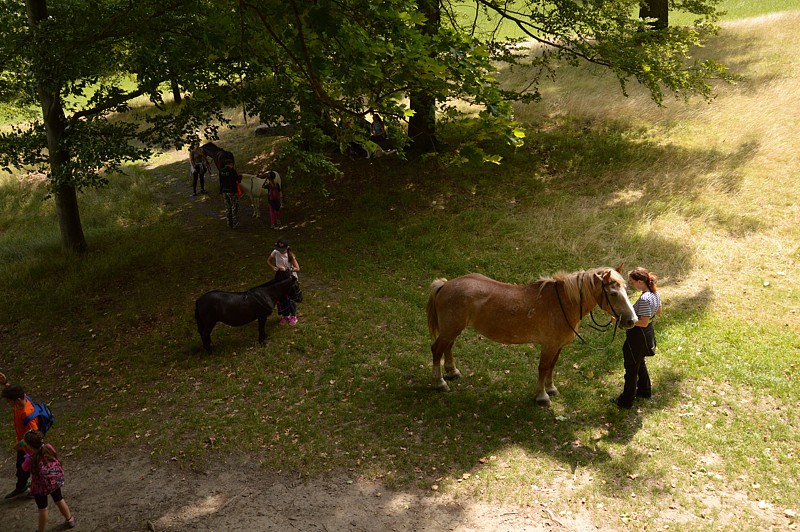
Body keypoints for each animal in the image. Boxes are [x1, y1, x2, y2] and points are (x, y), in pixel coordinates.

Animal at [424, 266, 636, 408]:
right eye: (613, 293)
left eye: (626, 289)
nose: (631, 320)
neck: (562, 303)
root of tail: (445, 285)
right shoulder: (549, 345)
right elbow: (543, 368)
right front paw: (542, 396)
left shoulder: (557, 346)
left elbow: (551, 366)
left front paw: (551, 388)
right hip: (451, 328)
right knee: (437, 349)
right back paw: (439, 382)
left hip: (453, 329)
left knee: (447, 347)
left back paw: (452, 372)